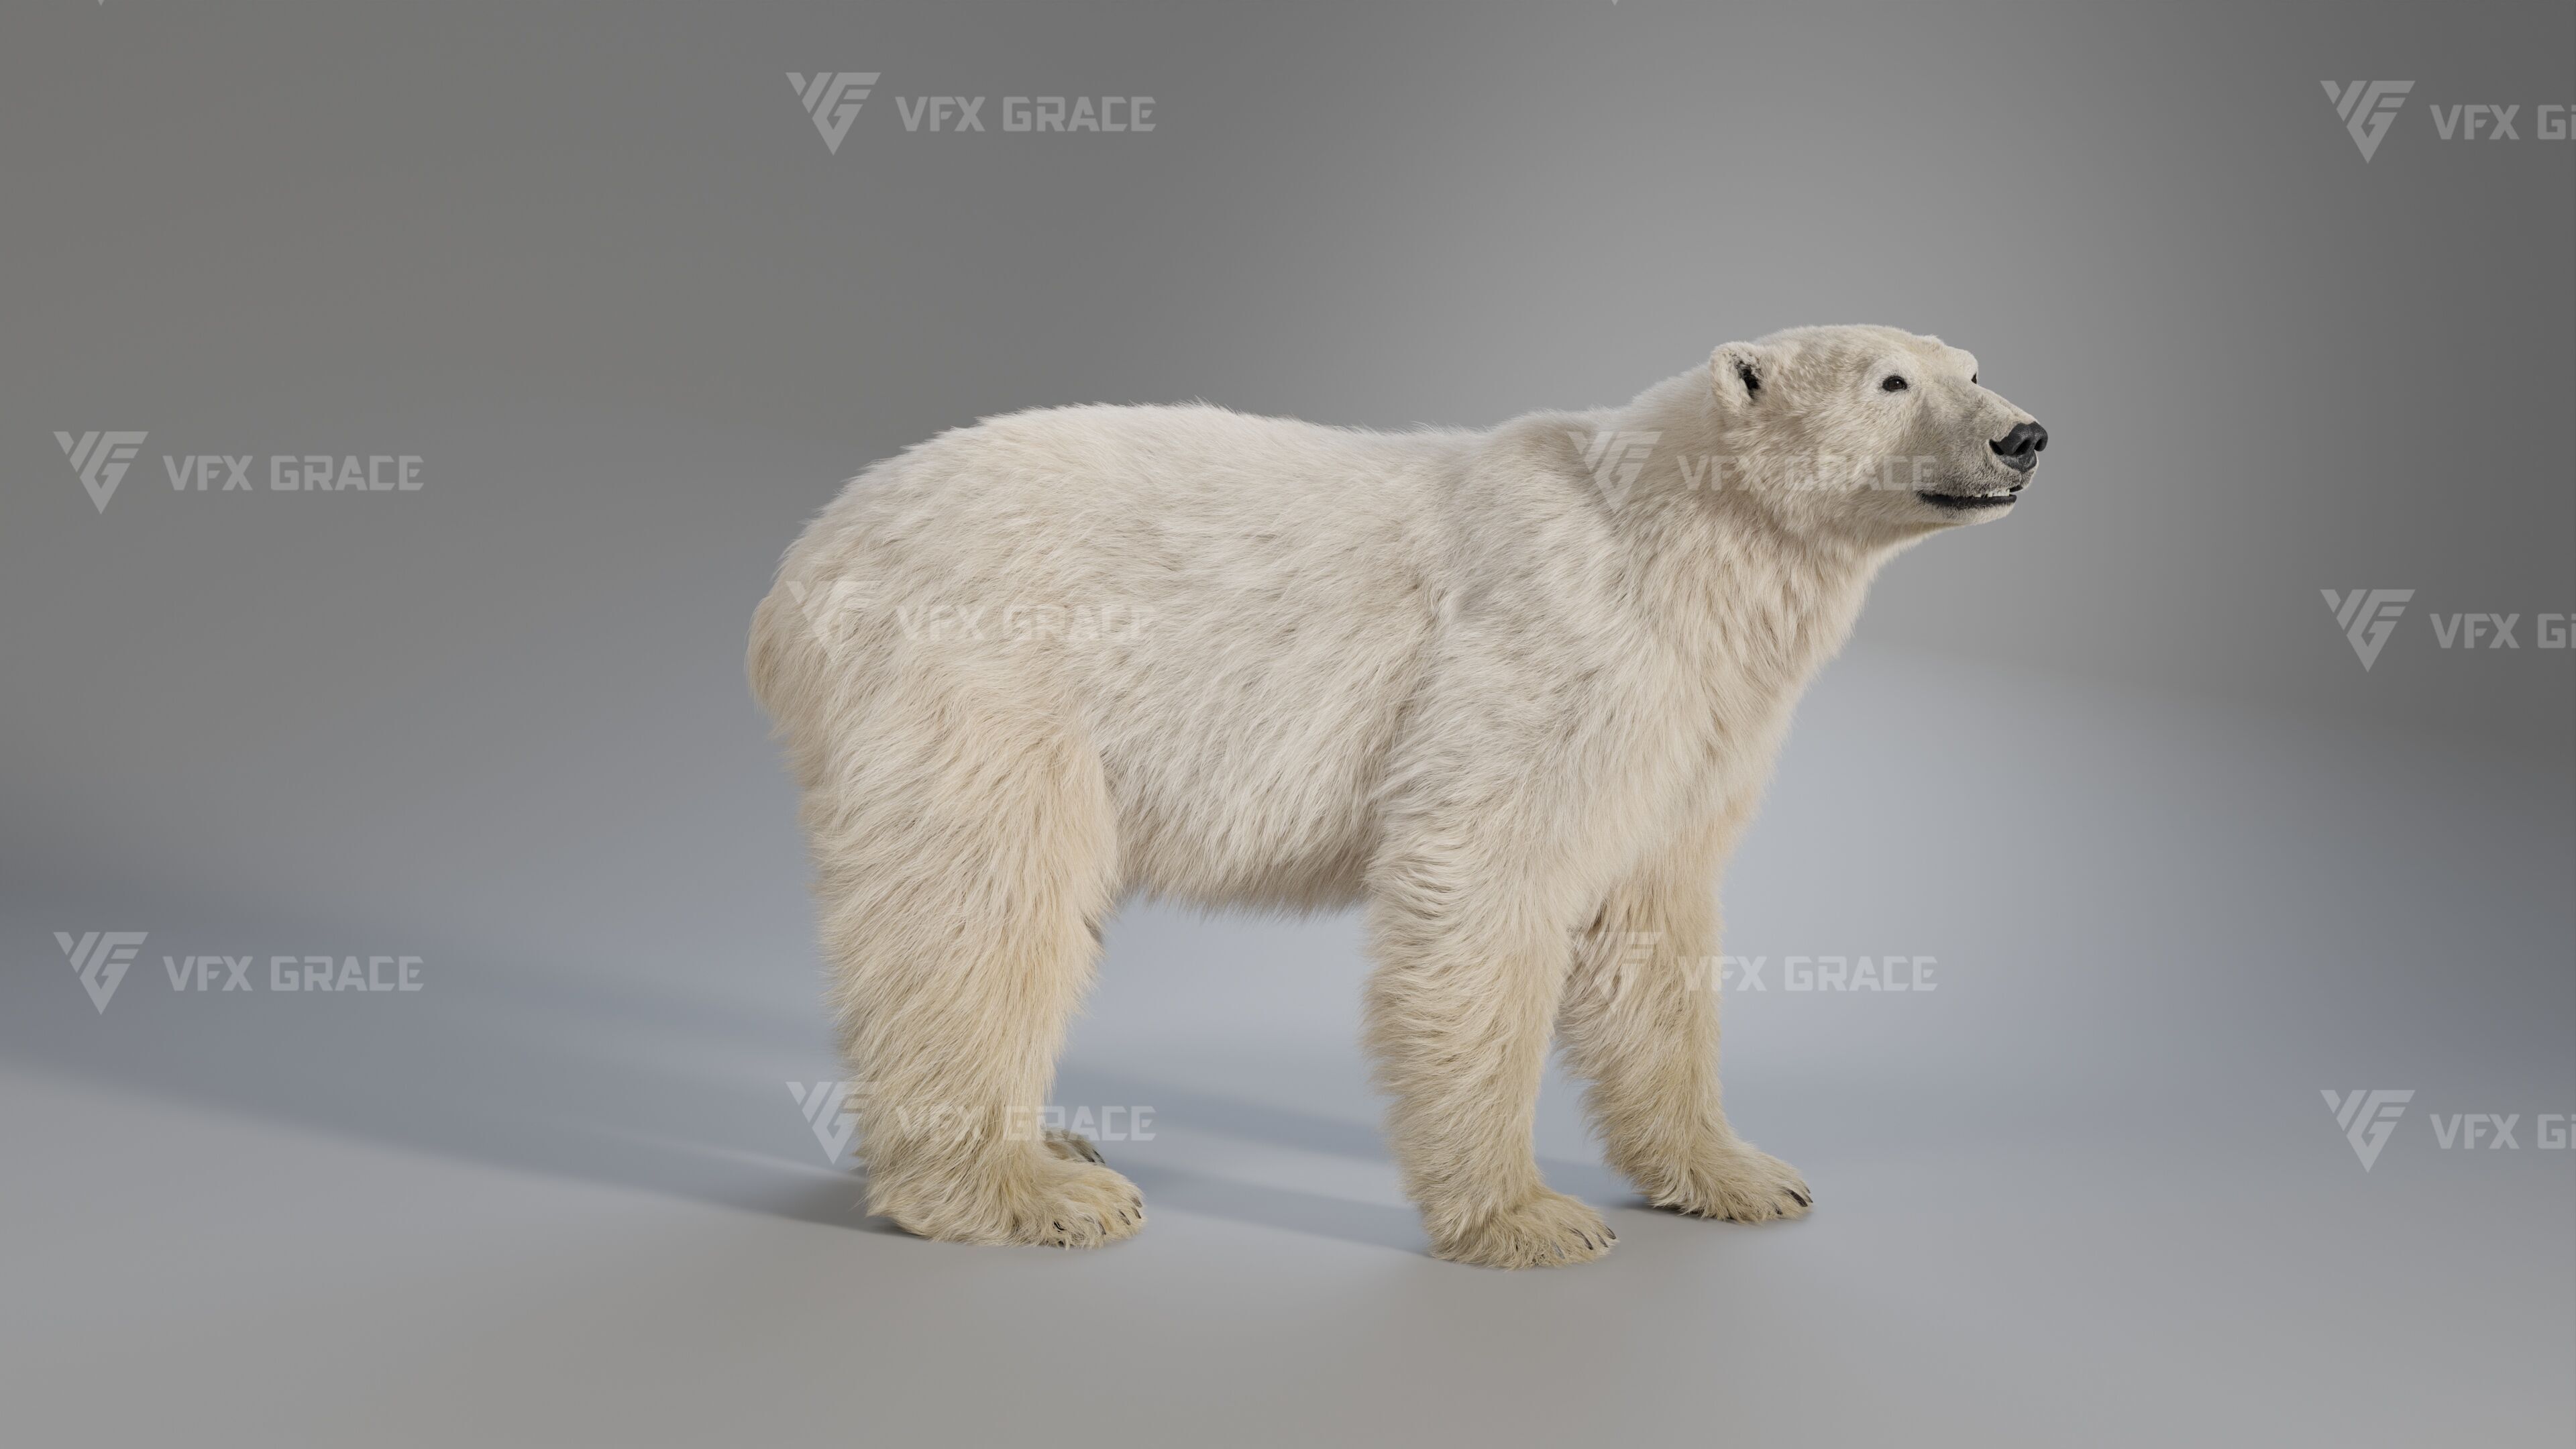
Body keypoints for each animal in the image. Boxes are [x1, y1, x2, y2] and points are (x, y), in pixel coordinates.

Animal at [748, 325, 2046, 1267]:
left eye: (1974, 365)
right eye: (1893, 379)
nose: (2026, 435)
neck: (1673, 541)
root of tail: (803, 565)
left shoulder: (1694, 723)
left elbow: (1653, 918)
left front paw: (1741, 1174)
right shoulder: (1551, 650)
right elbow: (1484, 873)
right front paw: (1526, 1217)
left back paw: (1056, 1138)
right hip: (988, 674)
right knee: (985, 901)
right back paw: (1034, 1190)